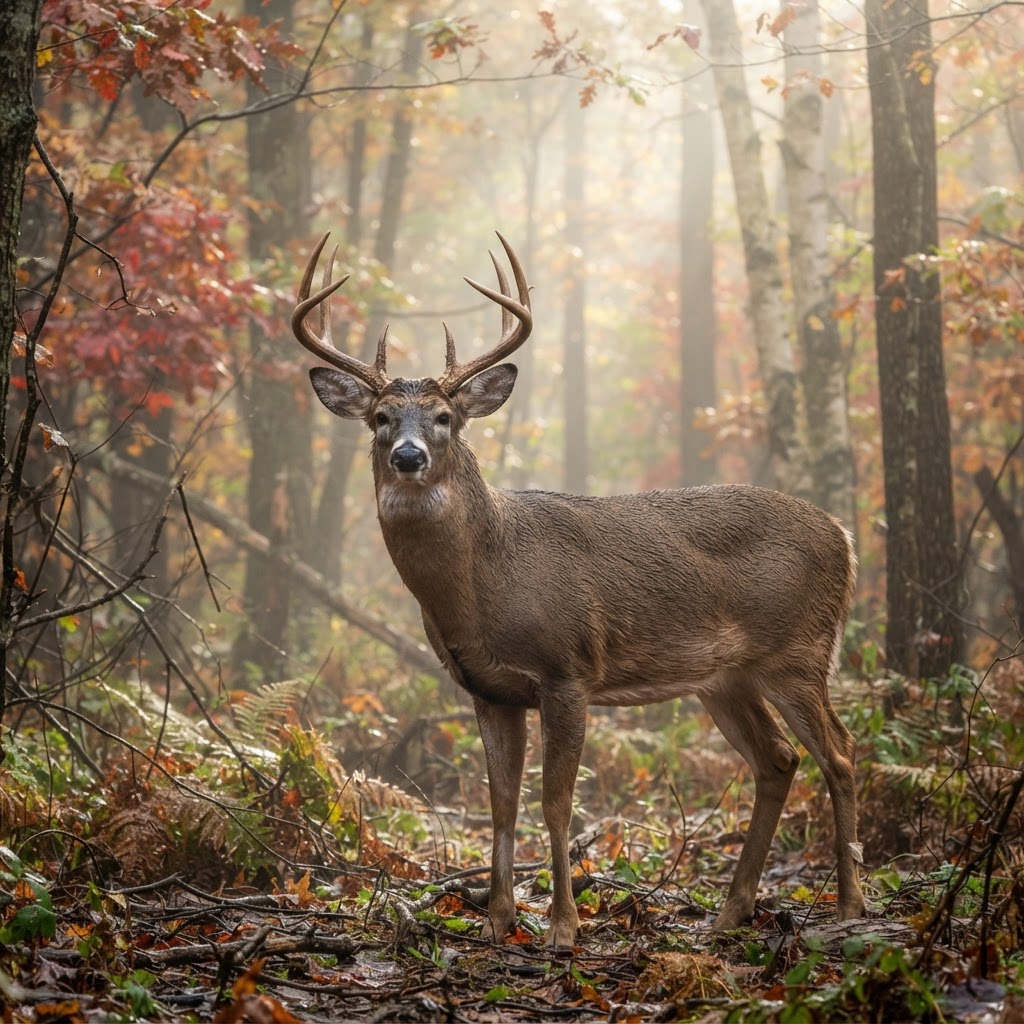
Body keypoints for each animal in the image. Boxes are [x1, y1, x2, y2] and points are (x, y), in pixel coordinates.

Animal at [291, 232, 867, 946]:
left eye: (446, 416)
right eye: (379, 416)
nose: (408, 456)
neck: (485, 583)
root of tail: (843, 536)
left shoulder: (567, 670)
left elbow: (557, 801)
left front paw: (563, 926)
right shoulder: (489, 688)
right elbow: (501, 803)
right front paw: (498, 921)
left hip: (798, 651)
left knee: (841, 753)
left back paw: (849, 907)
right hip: (725, 677)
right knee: (778, 760)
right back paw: (729, 915)